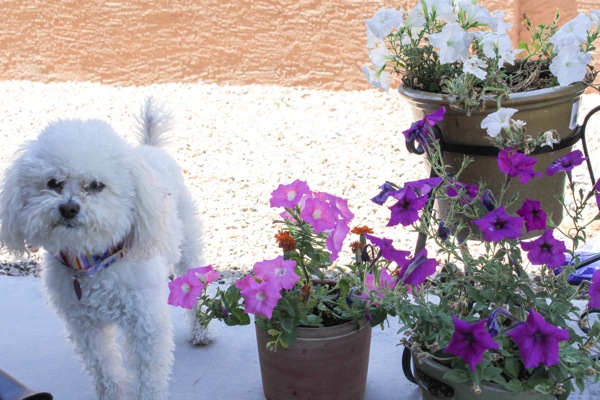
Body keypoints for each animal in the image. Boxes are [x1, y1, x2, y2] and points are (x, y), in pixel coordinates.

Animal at [0, 97, 211, 400]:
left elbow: (147, 375)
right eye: (53, 183)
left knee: (194, 289)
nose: (68, 208)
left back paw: (200, 331)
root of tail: (150, 146)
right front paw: (112, 393)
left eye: (97, 185)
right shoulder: (84, 325)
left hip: (188, 249)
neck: (92, 262)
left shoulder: (144, 322)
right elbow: (103, 366)